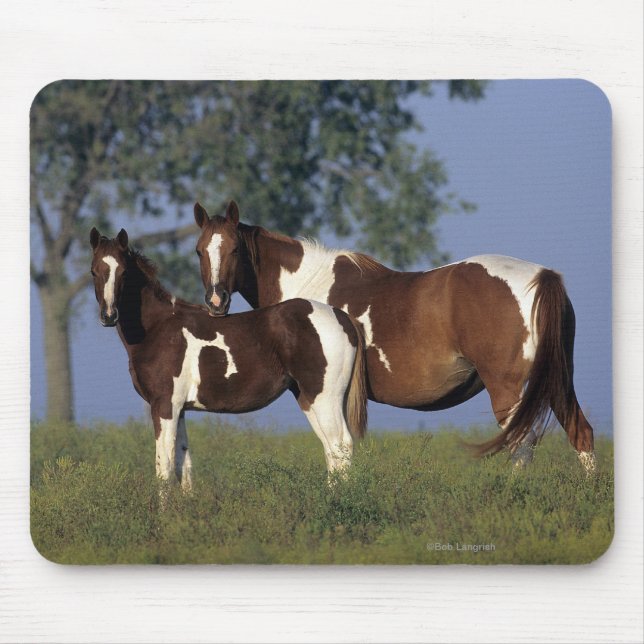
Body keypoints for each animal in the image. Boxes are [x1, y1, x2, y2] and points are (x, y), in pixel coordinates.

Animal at [89, 227, 367, 489]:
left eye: (124, 272)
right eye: (94, 271)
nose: (109, 315)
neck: (159, 327)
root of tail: (343, 318)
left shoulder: (164, 405)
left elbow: (164, 469)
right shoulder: (179, 409)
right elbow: (183, 466)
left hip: (325, 398)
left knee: (340, 445)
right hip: (309, 398)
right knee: (331, 450)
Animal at [192, 200, 596, 473]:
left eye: (234, 248)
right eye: (199, 250)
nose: (215, 301)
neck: (306, 290)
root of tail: (542, 277)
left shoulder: (316, 392)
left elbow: (335, 449)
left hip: (510, 390)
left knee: (522, 446)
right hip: (556, 382)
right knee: (581, 433)